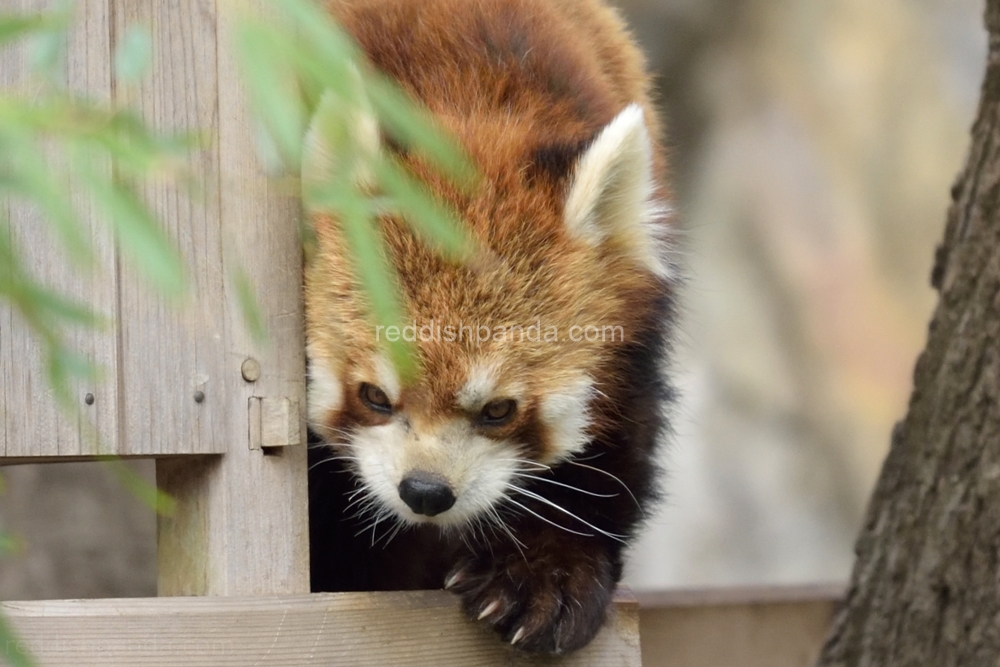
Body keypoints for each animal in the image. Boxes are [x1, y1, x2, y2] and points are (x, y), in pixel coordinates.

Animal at [306, 0, 672, 656]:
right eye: (374, 396)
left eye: (499, 410)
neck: (469, 101)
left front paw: (546, 578)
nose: (425, 492)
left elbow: (606, 463)